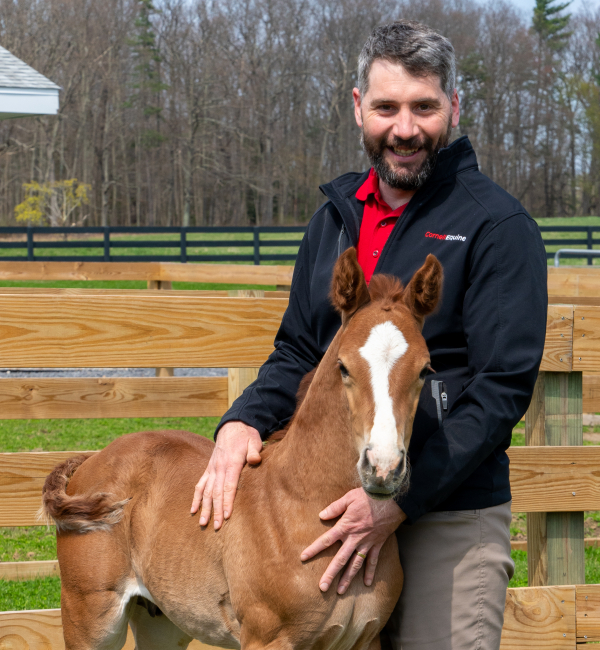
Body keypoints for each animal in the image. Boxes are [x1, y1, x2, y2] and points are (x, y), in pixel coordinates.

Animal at [41, 247, 443, 650]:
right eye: (343, 366)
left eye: (425, 370)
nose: (383, 468)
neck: (301, 505)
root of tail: (92, 460)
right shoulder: (266, 638)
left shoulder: (365, 638)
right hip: (90, 618)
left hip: (161, 619)